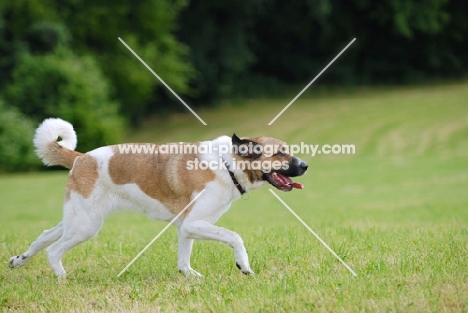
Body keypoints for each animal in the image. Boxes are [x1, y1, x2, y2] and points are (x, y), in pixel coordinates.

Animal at [10, 117, 308, 276]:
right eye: (280, 153)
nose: (305, 165)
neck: (227, 163)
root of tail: (81, 158)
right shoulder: (194, 223)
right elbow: (235, 237)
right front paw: (244, 266)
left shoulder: (187, 227)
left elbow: (184, 261)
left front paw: (190, 277)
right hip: (86, 225)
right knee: (53, 250)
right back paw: (62, 277)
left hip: (77, 218)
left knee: (45, 236)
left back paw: (19, 260)